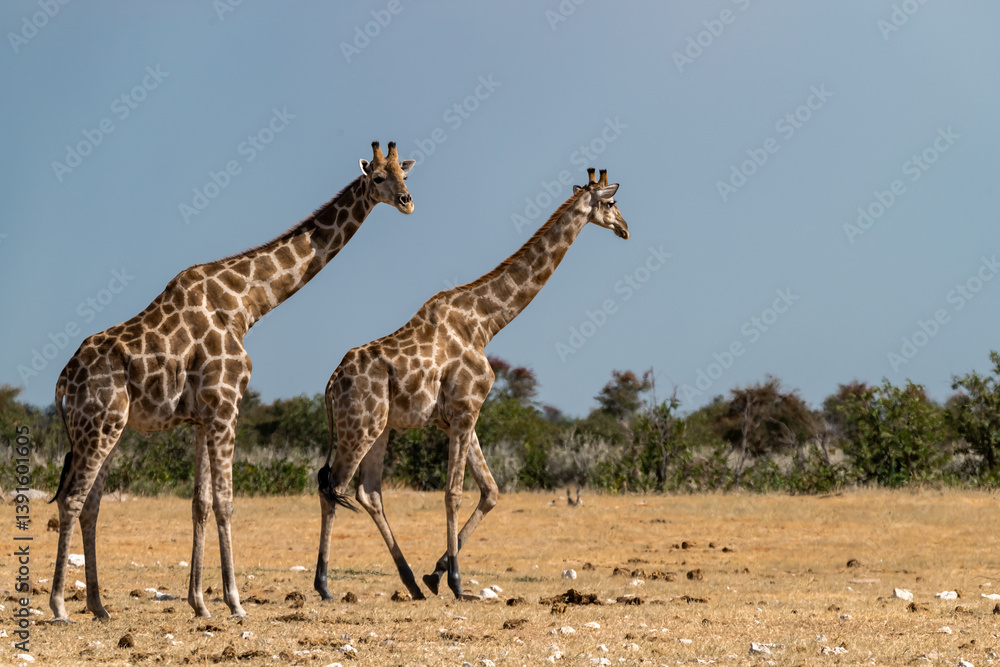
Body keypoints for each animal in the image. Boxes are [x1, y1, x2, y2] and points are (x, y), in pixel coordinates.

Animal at [49, 141, 415, 622]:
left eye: (405, 174)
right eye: (377, 177)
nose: (408, 201)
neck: (247, 303)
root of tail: (62, 382)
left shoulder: (203, 418)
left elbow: (200, 503)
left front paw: (200, 602)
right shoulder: (226, 406)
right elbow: (225, 501)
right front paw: (235, 601)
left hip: (108, 428)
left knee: (91, 503)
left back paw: (99, 605)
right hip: (99, 424)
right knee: (72, 499)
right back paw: (59, 605)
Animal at [313, 168, 628, 601]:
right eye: (611, 203)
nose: (625, 228)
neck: (485, 322)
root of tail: (331, 383)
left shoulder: (462, 416)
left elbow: (491, 491)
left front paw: (435, 574)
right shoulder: (465, 410)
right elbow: (453, 493)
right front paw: (457, 583)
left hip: (379, 428)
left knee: (366, 492)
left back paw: (411, 583)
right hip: (359, 426)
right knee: (333, 486)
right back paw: (325, 585)